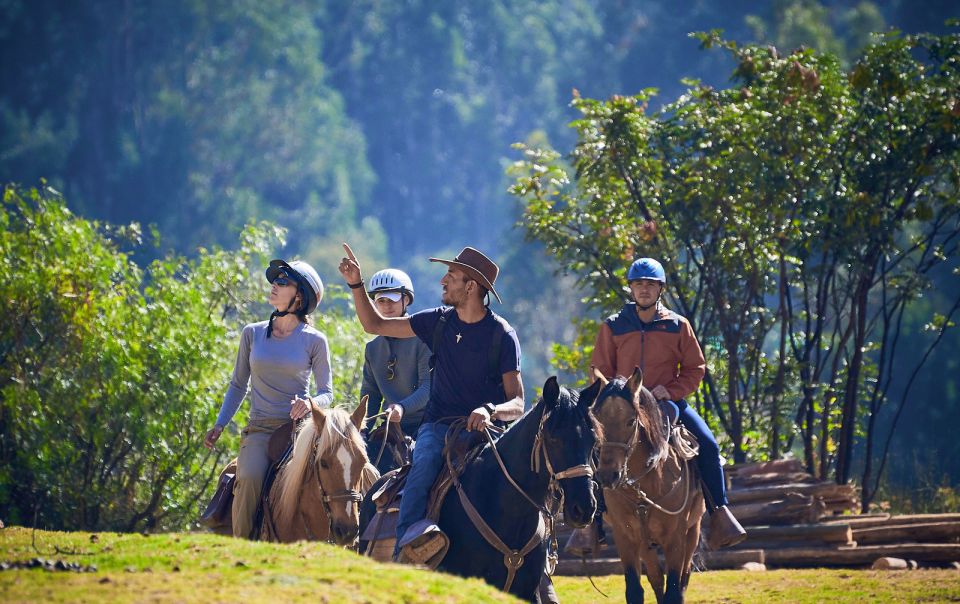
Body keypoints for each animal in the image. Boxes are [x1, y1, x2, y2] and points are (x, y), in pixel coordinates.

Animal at [592, 368, 704, 604]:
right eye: (596, 420)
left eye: (630, 421)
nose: (608, 475)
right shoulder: (626, 537)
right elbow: (636, 590)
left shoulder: (675, 539)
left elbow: (674, 590)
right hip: (645, 544)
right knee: (656, 578)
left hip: (693, 531)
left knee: (684, 577)